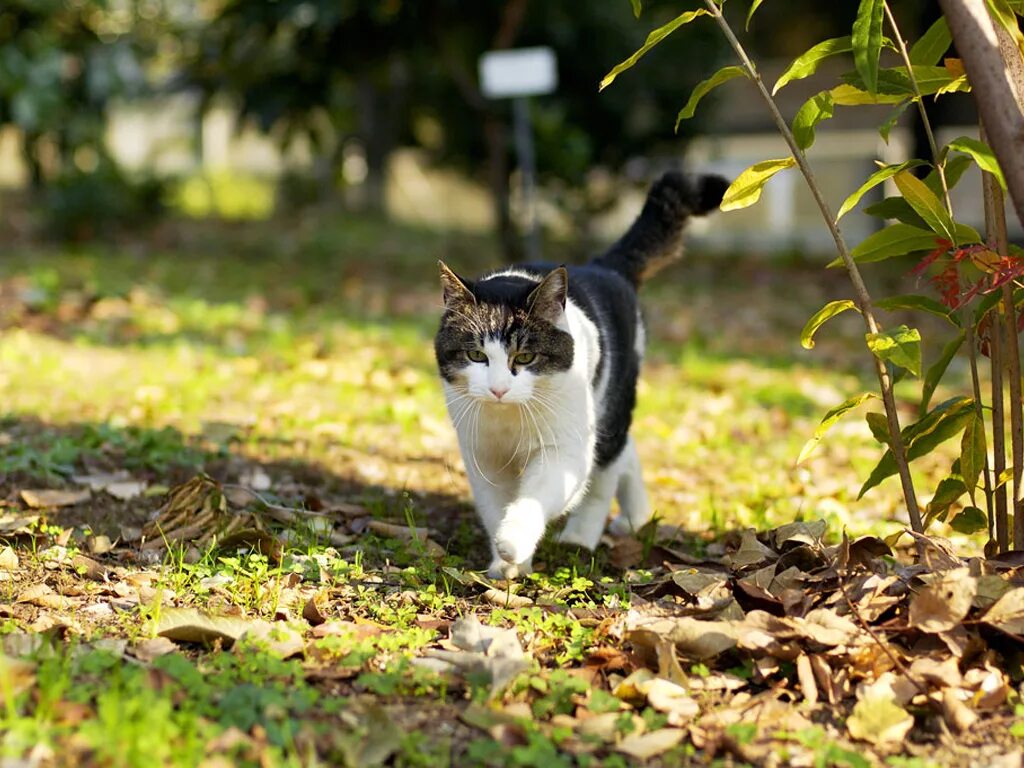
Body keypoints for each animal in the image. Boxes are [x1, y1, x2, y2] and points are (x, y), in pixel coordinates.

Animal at [436, 169, 724, 577]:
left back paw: (581, 537)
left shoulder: (565, 449)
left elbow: (539, 494)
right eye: (476, 355)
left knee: (604, 471)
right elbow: (494, 507)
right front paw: (505, 565)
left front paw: (514, 542)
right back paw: (635, 516)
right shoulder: (483, 457)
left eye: (524, 357)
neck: (510, 421)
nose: (498, 390)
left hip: (609, 403)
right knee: (624, 453)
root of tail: (604, 266)